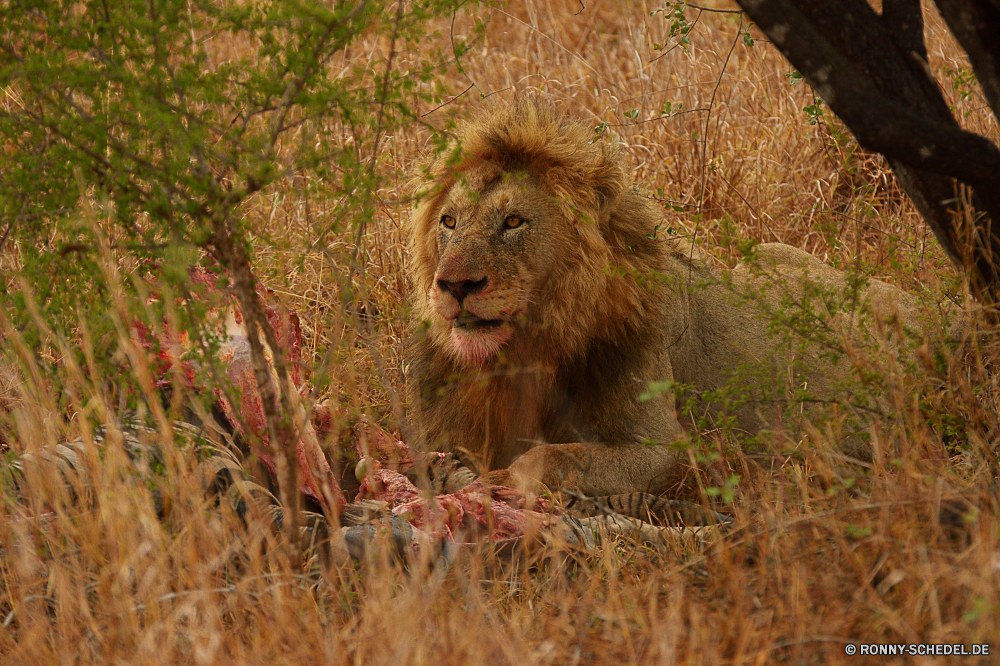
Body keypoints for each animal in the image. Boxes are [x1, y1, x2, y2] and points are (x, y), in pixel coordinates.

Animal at [404, 96, 928, 496]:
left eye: (513, 222)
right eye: (449, 221)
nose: (454, 285)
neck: (523, 354)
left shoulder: (668, 450)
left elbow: (547, 458)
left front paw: (494, 483)